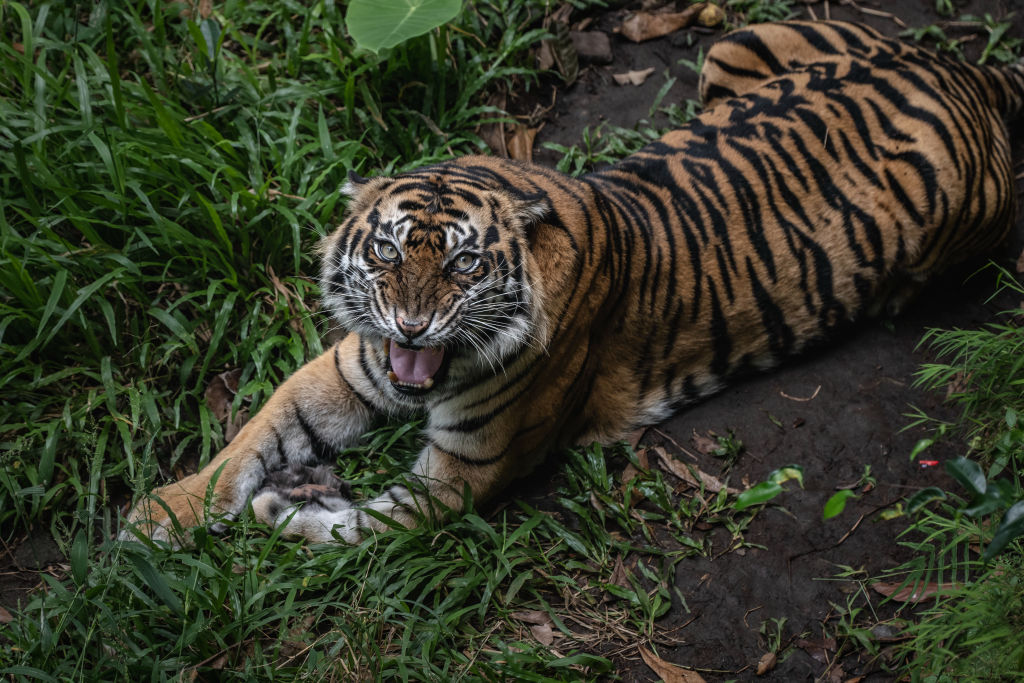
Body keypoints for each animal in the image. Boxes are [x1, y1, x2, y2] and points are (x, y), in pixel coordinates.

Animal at [122, 20, 1024, 545]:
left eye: (464, 264)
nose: (411, 329)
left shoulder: (465, 473)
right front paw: (163, 514)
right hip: (735, 46)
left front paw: (282, 512)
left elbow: (360, 530)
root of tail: (957, 67)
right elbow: (248, 438)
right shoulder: (341, 370)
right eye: (385, 252)